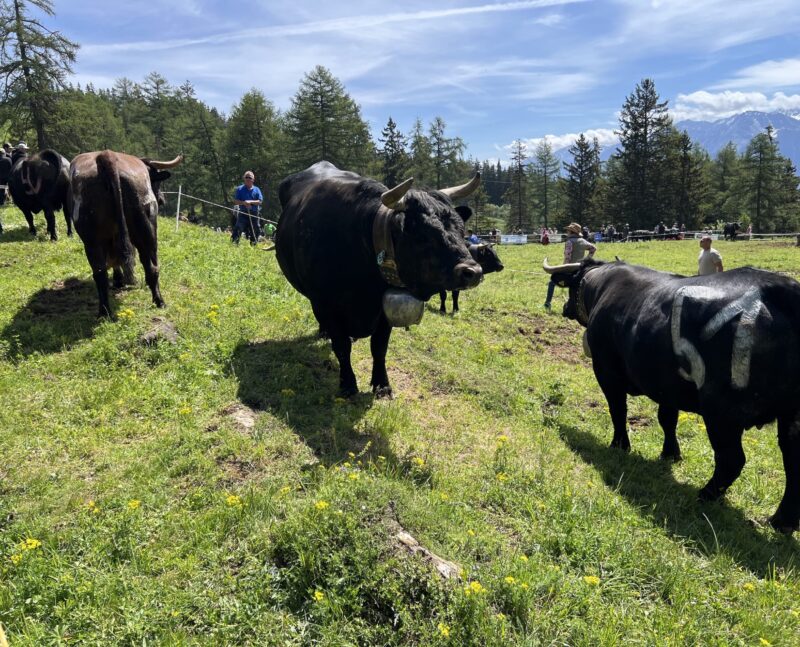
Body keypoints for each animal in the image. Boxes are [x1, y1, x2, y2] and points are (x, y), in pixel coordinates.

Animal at [67, 151, 182, 317]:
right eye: (156, 182)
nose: (161, 200)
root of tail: (106, 155)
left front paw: (119, 280)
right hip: (146, 230)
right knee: (151, 266)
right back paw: (159, 301)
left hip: (93, 241)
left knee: (101, 273)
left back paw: (105, 311)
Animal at [276, 161, 484, 397]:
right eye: (423, 235)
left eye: (461, 230)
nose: (473, 271)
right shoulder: (324, 303)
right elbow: (341, 346)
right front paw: (348, 384)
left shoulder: (384, 309)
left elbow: (379, 346)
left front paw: (382, 384)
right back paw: (324, 332)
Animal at [543, 256, 800, 534]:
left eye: (571, 287)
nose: (565, 307)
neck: (601, 283)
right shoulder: (667, 386)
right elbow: (667, 419)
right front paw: (670, 454)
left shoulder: (605, 370)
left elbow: (617, 409)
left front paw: (620, 444)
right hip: (789, 415)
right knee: (792, 459)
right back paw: (782, 521)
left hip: (722, 411)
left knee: (731, 460)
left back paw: (706, 495)